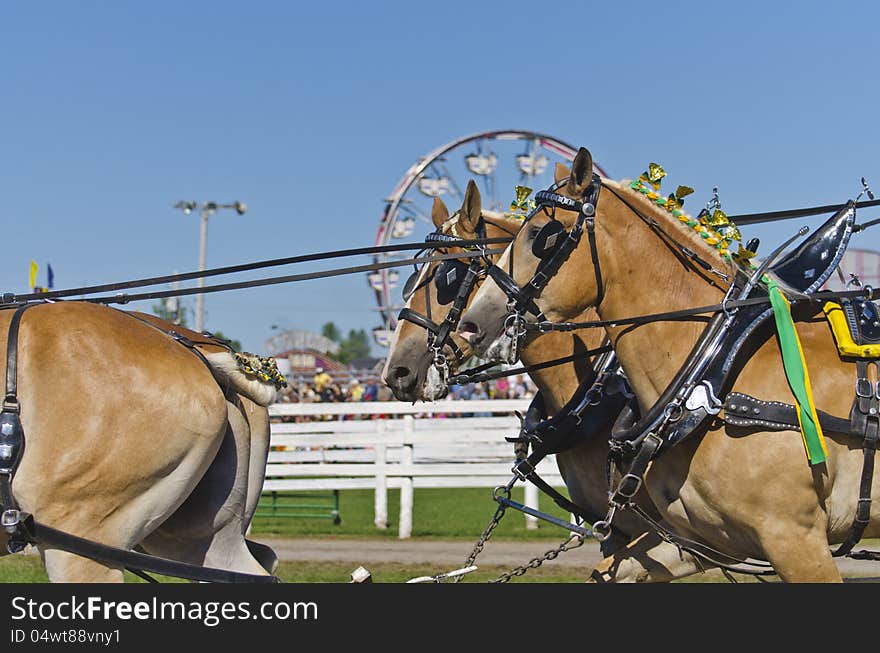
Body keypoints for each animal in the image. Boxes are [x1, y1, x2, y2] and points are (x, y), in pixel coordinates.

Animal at [460, 146, 880, 580]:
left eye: (543, 234)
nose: (471, 324)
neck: (716, 369)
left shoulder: (793, 537)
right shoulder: (705, 539)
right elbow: (612, 570)